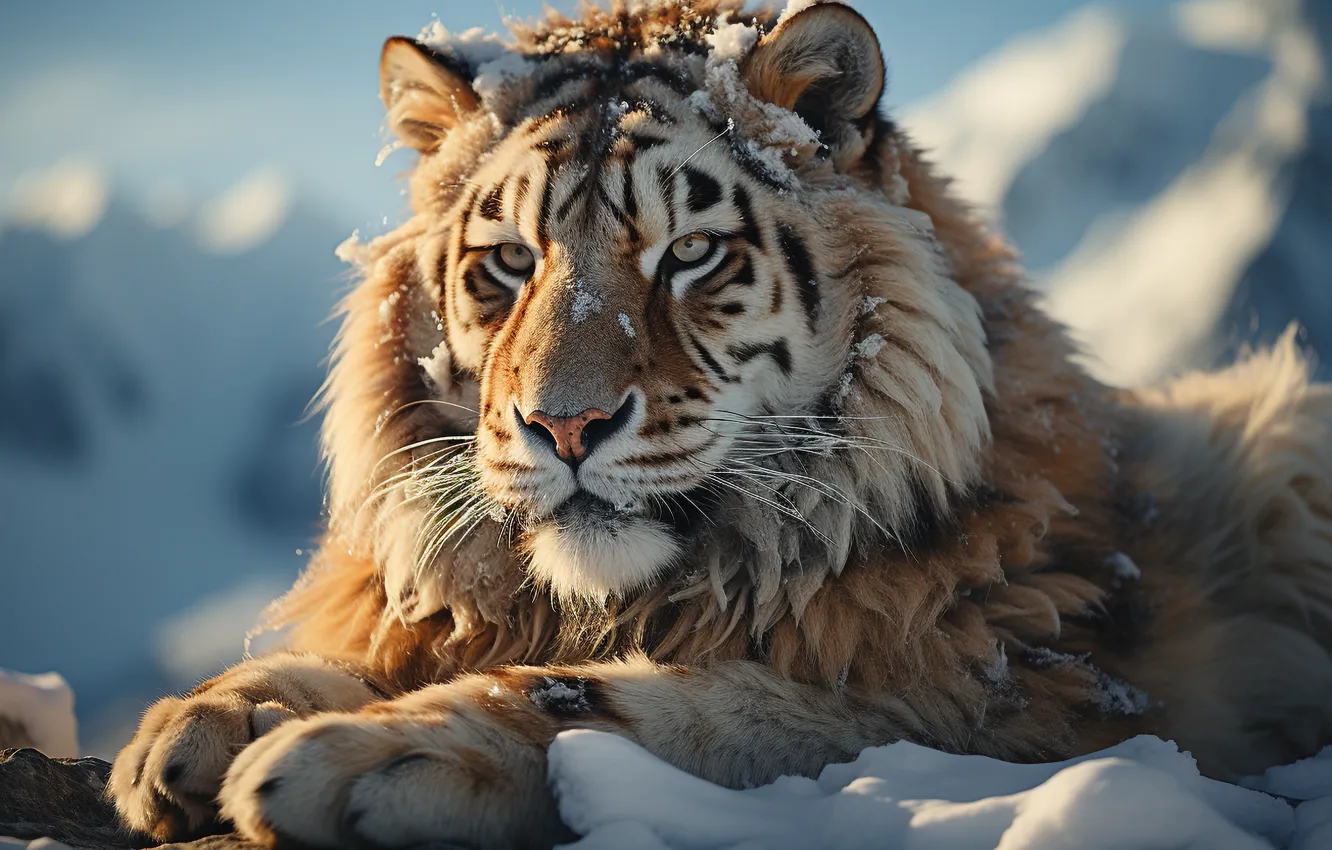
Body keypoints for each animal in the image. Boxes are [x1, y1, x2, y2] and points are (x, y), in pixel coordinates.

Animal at [107, 1, 1332, 847]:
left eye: (690, 253)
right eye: (510, 262)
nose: (566, 426)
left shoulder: (1018, 694)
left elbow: (655, 707)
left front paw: (360, 758)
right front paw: (206, 718)